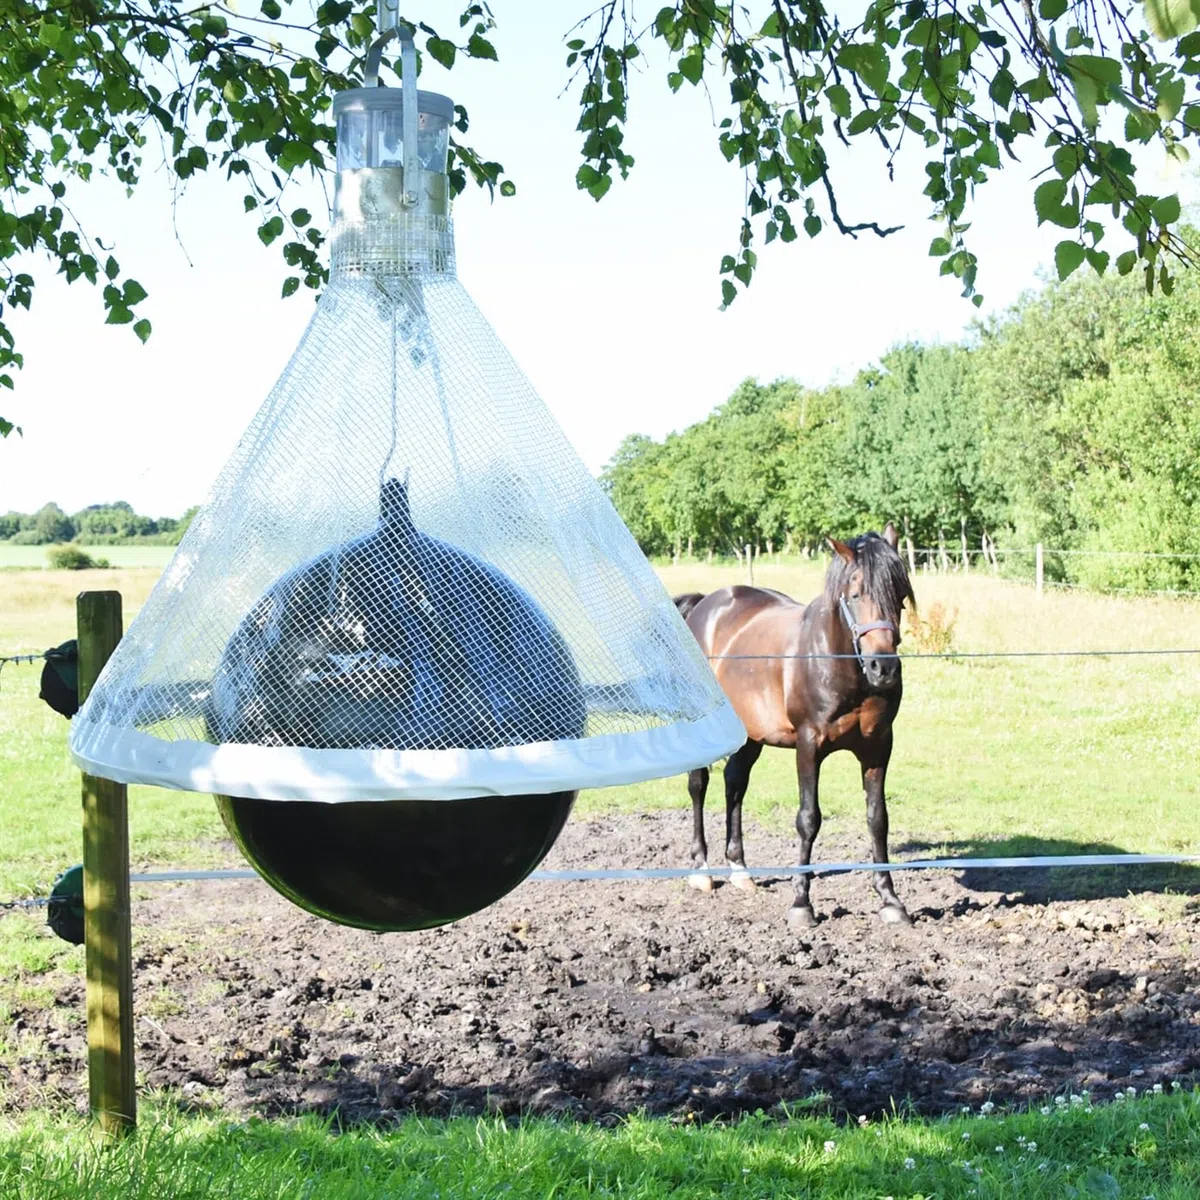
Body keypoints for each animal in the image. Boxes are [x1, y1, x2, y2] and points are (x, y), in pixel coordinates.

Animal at [675, 523, 915, 927]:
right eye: (855, 593)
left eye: (900, 593)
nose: (883, 668)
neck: (841, 667)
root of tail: (705, 605)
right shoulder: (809, 745)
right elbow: (808, 819)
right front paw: (801, 904)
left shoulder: (879, 747)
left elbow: (877, 818)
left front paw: (890, 901)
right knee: (698, 785)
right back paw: (701, 871)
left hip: (750, 735)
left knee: (735, 783)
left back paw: (739, 870)